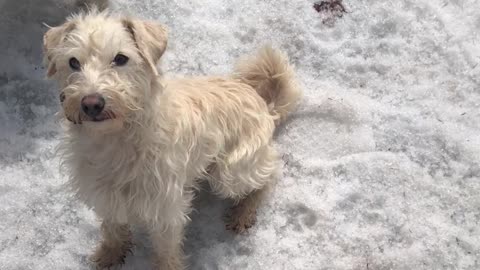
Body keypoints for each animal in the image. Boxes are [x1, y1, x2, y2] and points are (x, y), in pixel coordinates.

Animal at [43, 9, 302, 268]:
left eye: (121, 58)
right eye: (73, 62)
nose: (91, 103)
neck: (115, 139)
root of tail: (264, 106)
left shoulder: (165, 208)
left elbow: (166, 250)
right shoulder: (106, 196)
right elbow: (112, 229)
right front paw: (110, 254)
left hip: (229, 172)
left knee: (268, 176)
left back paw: (243, 212)